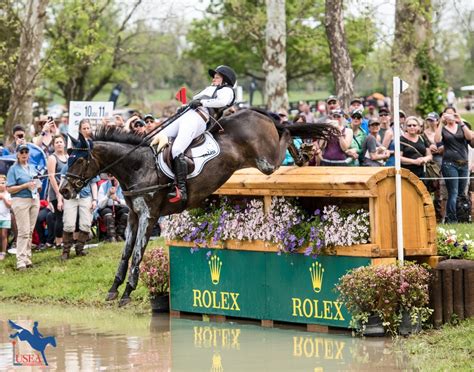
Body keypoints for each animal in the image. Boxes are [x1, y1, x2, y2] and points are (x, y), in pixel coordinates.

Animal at [59, 107, 336, 306]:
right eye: (68, 159)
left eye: (79, 160)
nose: (64, 191)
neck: (137, 166)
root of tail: (259, 113)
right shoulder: (133, 217)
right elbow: (126, 253)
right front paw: (114, 288)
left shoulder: (149, 216)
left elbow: (137, 253)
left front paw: (127, 292)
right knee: (285, 134)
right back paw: (302, 157)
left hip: (266, 161)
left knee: (286, 133)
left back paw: (304, 150)